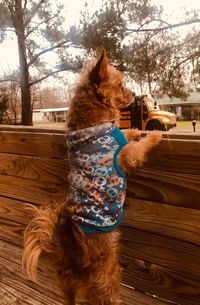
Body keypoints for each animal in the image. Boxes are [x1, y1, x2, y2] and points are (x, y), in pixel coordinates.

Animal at [22, 48, 162, 302]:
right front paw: (154, 134)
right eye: (121, 85)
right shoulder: (128, 155)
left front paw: (136, 129)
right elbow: (138, 145)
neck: (93, 126)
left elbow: (127, 132)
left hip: (67, 283)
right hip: (108, 273)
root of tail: (67, 247)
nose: (134, 93)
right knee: (107, 294)